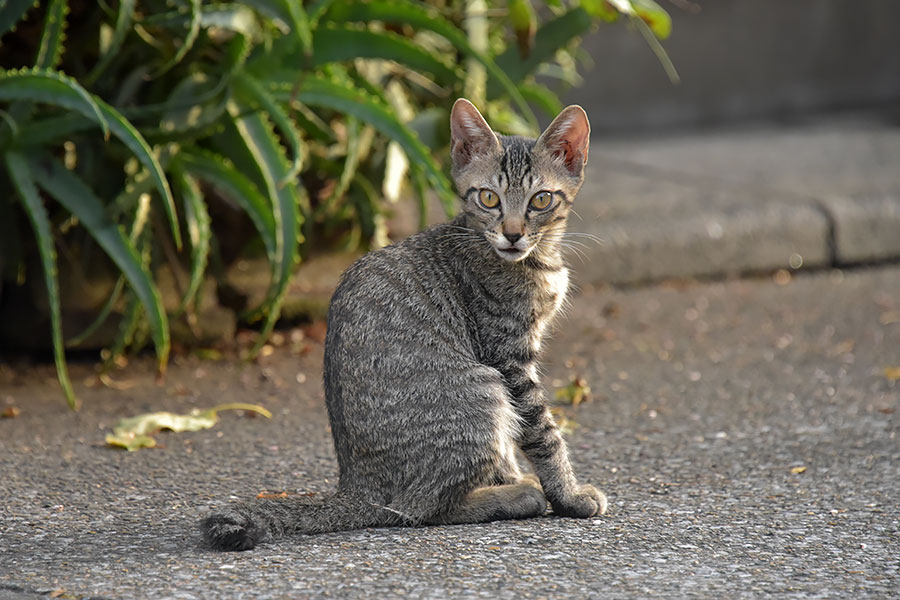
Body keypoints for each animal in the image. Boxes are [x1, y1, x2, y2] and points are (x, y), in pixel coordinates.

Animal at [200, 98, 608, 552]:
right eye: (489, 198)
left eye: (540, 200)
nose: (513, 234)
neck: (536, 261)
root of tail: (356, 485)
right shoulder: (508, 359)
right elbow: (543, 432)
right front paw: (568, 495)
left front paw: (523, 479)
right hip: (480, 388)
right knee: (419, 509)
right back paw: (513, 496)